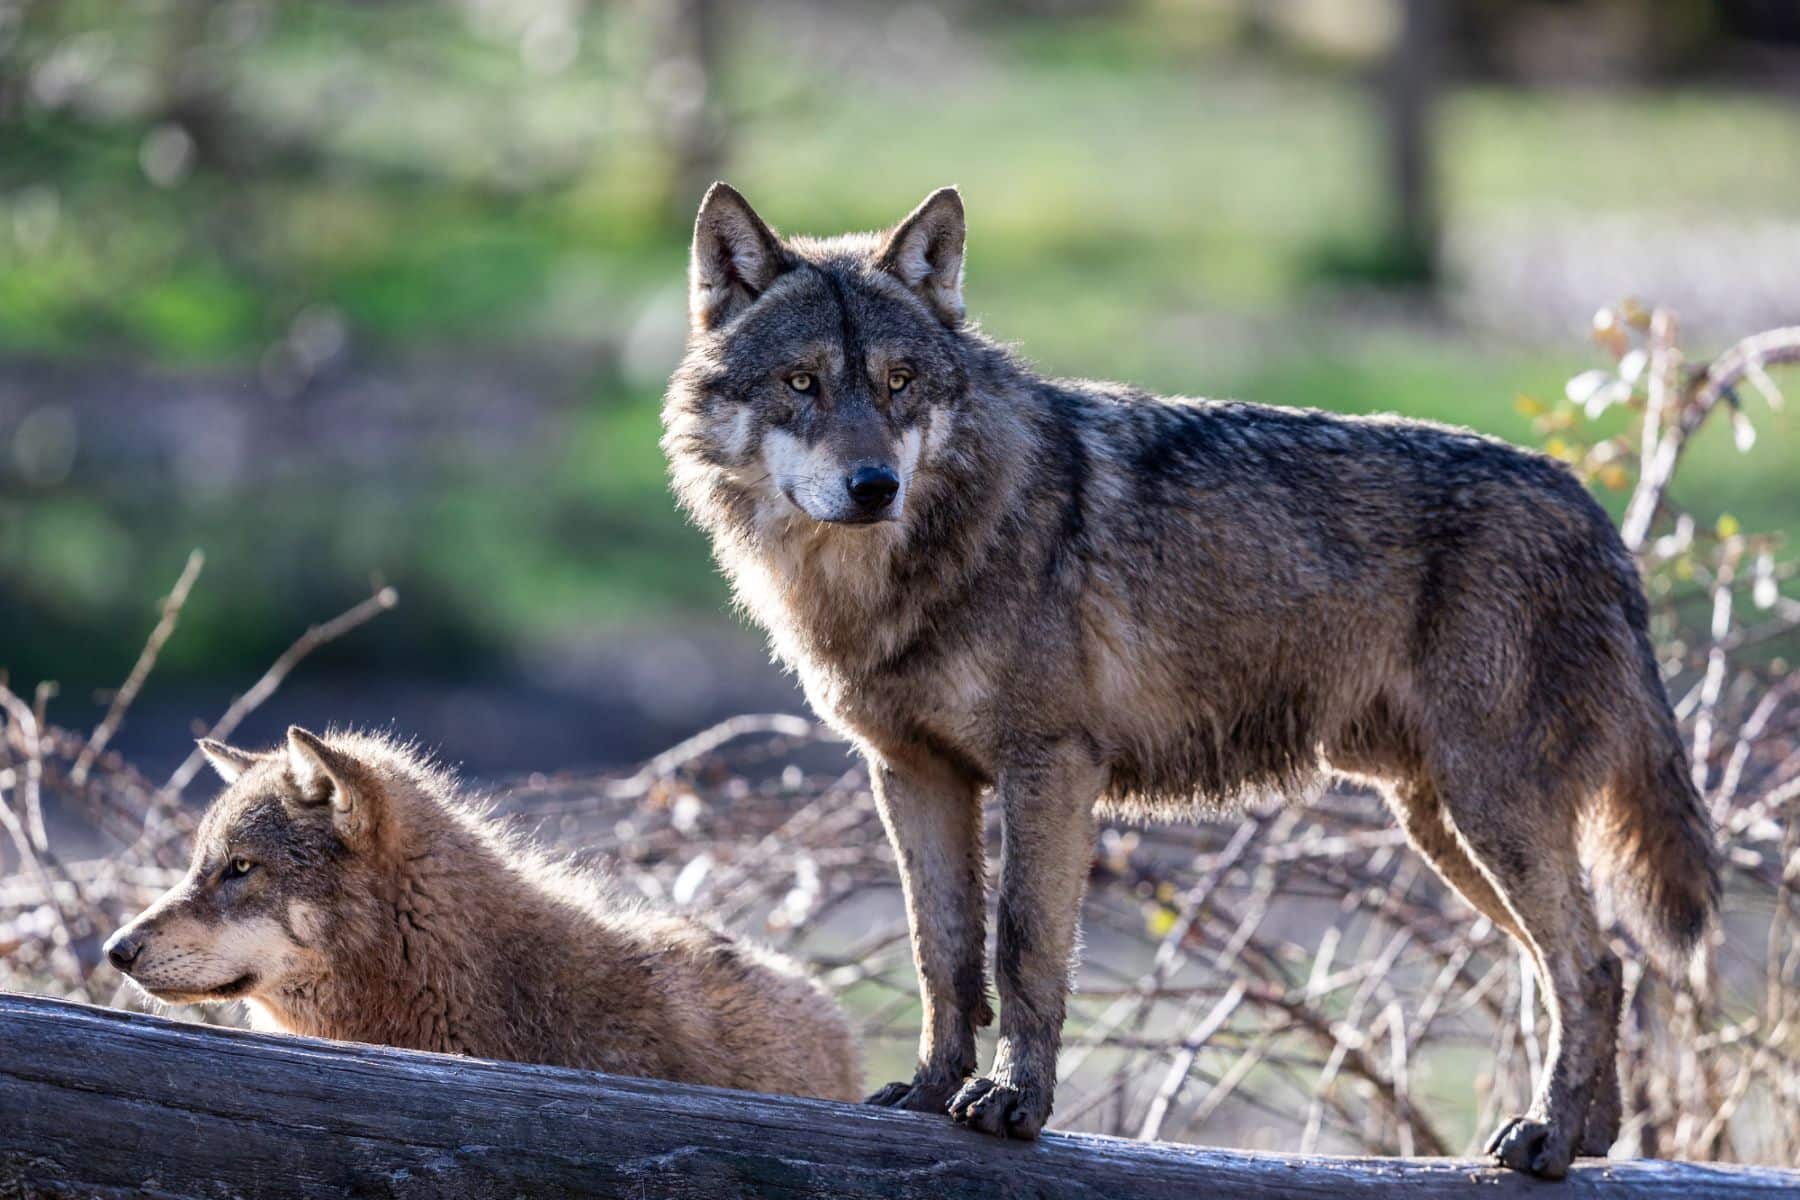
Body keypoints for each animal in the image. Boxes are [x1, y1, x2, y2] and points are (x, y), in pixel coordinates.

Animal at [661, 183, 1719, 1176]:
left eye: (899, 383)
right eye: (802, 382)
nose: (875, 485)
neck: (896, 578)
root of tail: (1595, 514)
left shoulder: (1051, 767)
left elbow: (1023, 947)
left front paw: (1012, 1103)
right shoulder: (914, 774)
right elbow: (944, 954)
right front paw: (927, 1093)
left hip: (1486, 812)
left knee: (1589, 965)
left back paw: (1547, 1138)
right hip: (1444, 828)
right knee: (1587, 963)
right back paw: (1592, 1139)